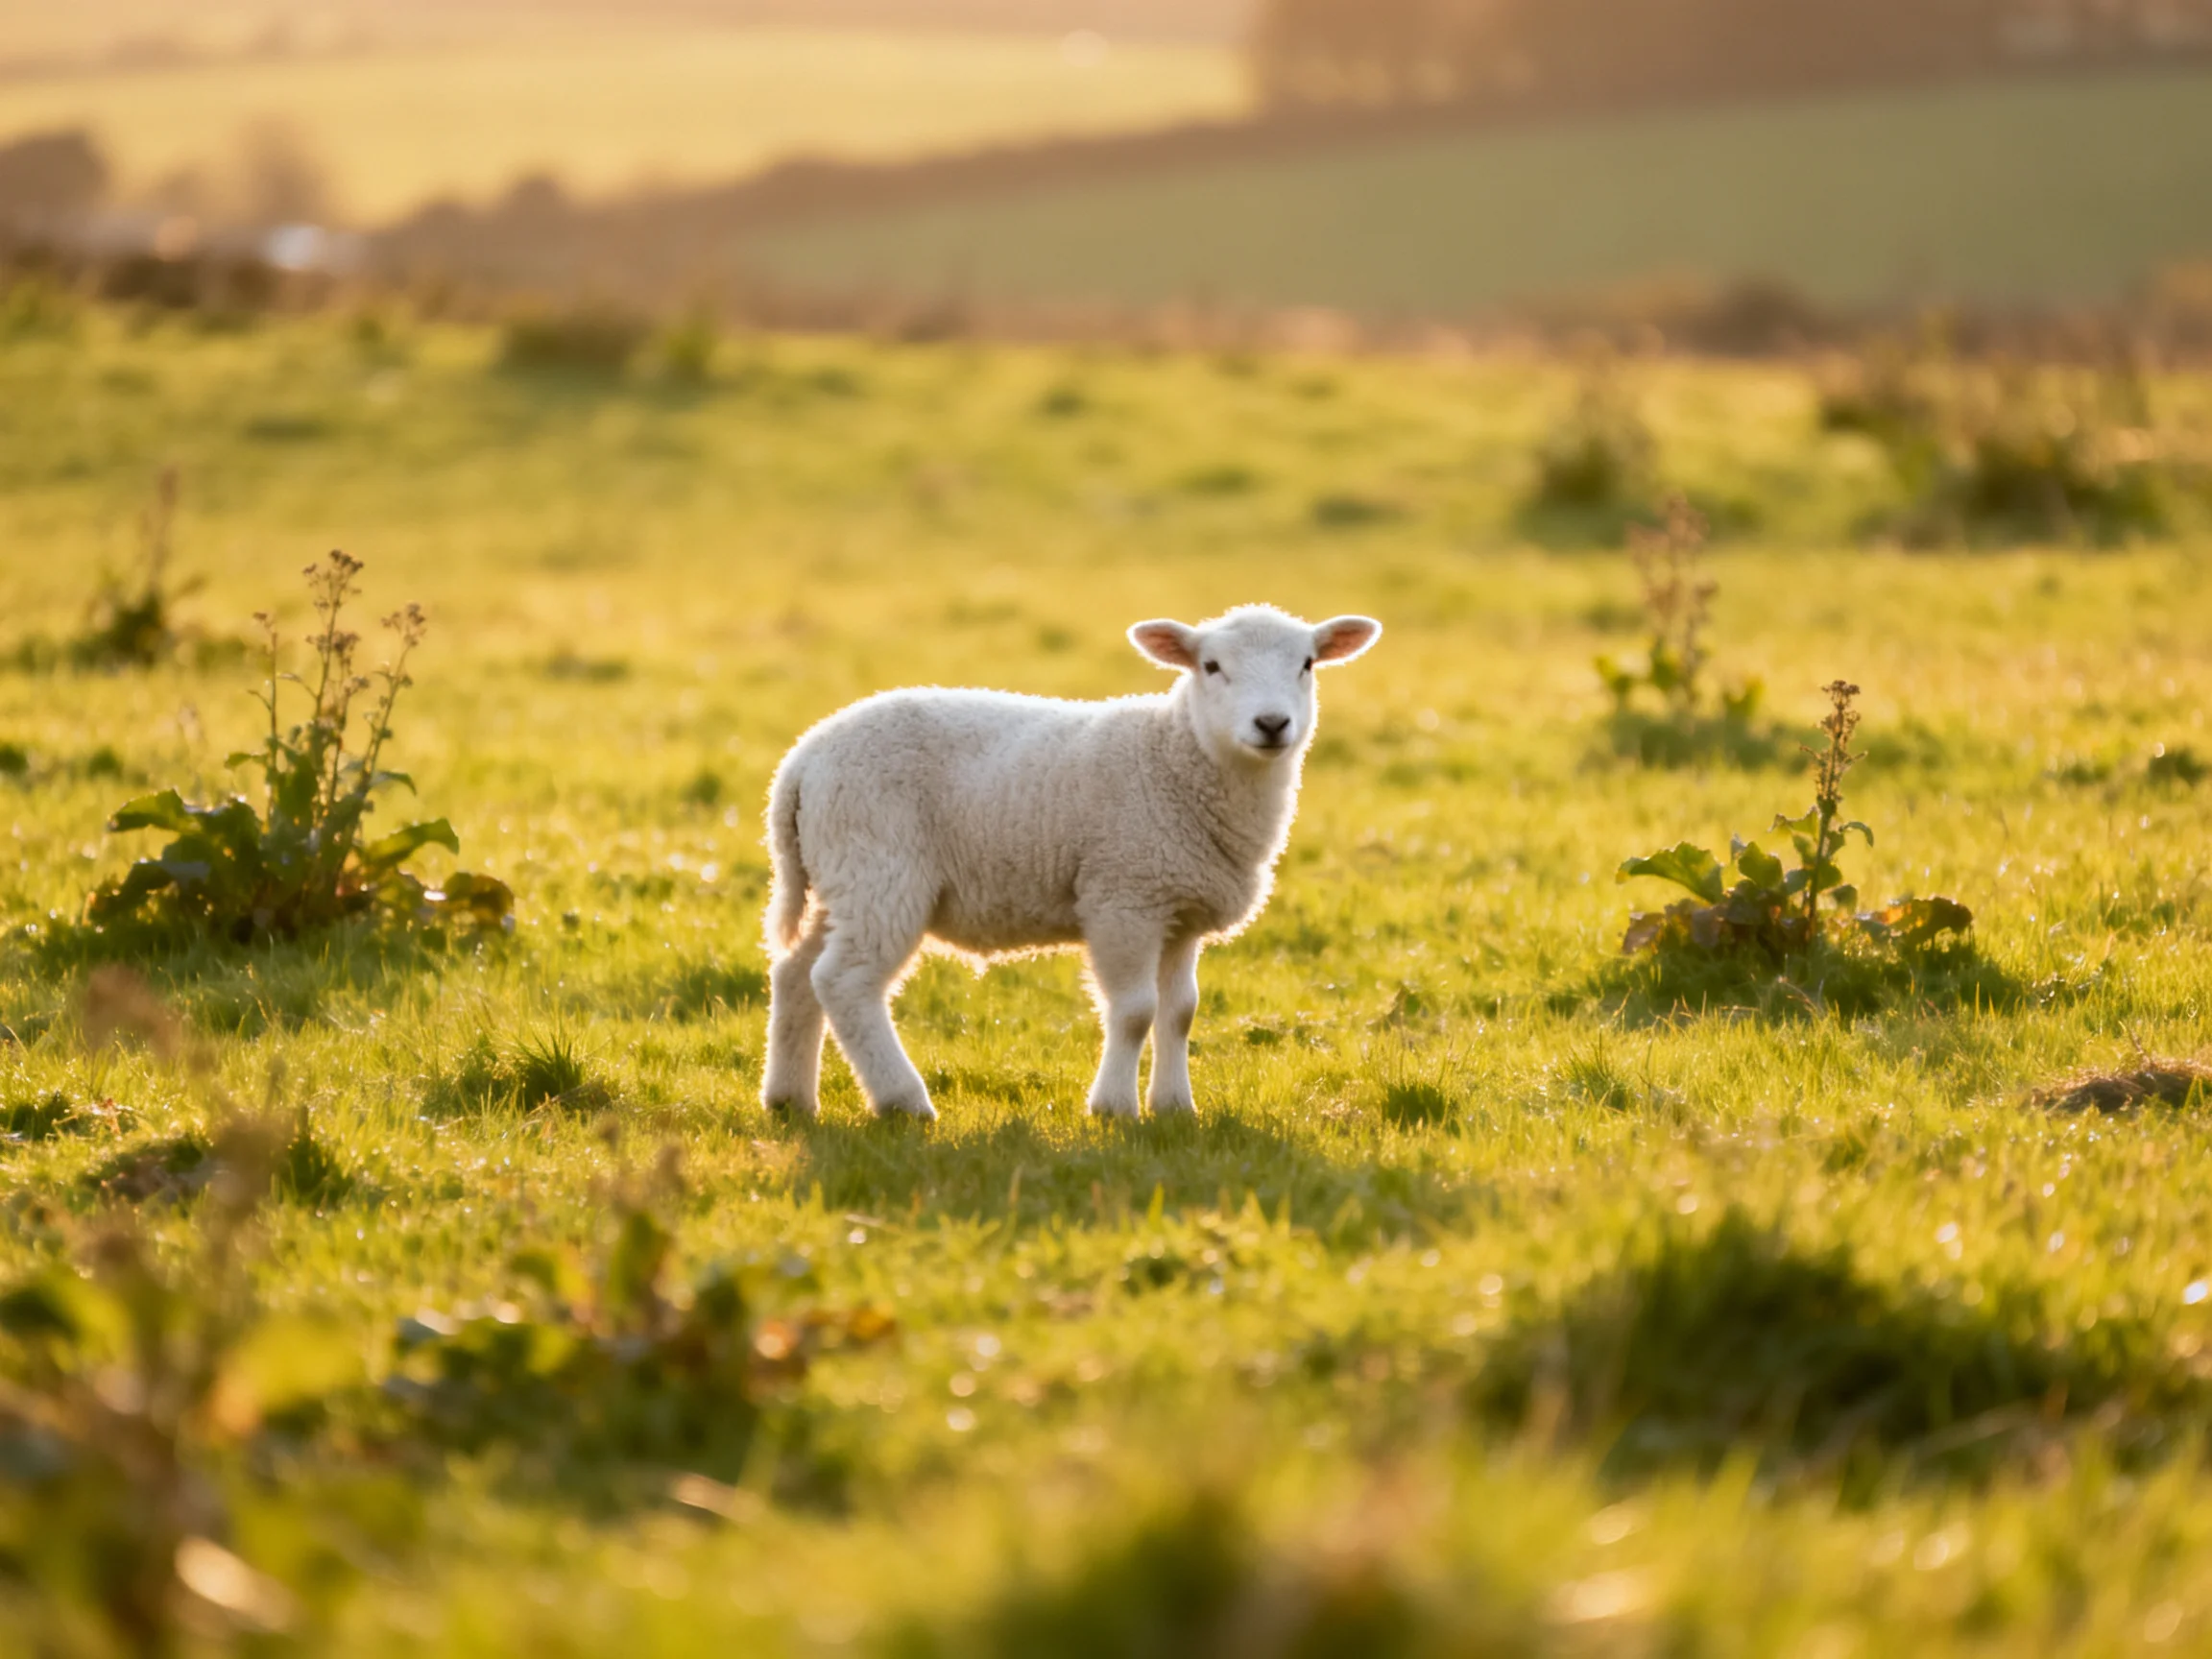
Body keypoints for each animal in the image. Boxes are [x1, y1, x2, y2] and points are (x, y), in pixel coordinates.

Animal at [759, 604, 1382, 1122]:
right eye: (1211, 666)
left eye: (1307, 664)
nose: (1272, 724)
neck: (1176, 758)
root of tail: (801, 761)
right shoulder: (1123, 896)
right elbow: (1134, 1011)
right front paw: (1113, 1109)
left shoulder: (1177, 910)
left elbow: (1180, 1011)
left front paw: (1175, 1108)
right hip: (881, 870)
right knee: (844, 982)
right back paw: (903, 1101)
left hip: (841, 875)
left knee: (796, 974)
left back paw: (790, 1099)